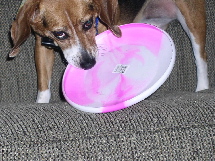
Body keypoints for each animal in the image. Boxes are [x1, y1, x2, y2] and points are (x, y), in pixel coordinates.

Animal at [9, 0, 209, 103]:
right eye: (60, 34)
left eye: (88, 23)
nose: (88, 63)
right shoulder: (41, 44)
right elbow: (43, 84)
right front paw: (42, 102)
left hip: (192, 19)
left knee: (201, 58)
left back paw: (202, 89)